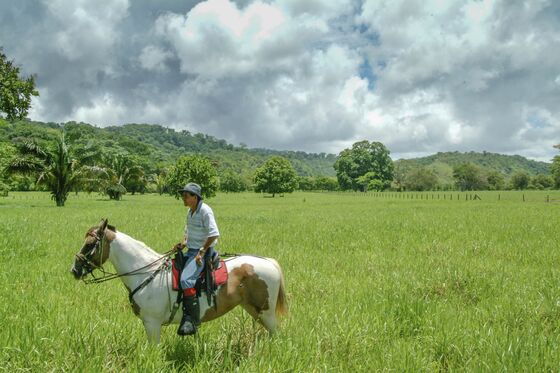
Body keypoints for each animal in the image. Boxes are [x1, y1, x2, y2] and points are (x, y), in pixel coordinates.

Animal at [70, 218, 288, 342]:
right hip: (253, 310)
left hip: (266, 312)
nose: (75, 270)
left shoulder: (152, 323)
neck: (146, 273)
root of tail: (269, 262)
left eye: (89, 244)